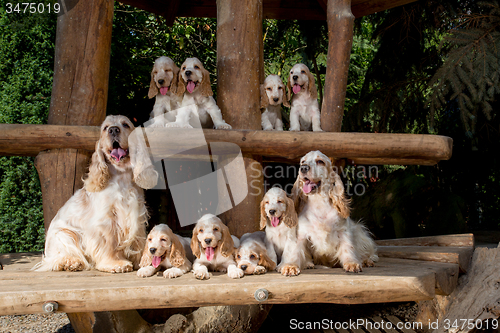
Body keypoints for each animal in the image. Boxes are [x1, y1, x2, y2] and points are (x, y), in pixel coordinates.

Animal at [34, 115, 158, 272]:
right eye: (105, 128)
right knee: (56, 258)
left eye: (125, 125)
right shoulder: (106, 220)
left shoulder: (137, 213)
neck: (122, 175)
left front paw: (143, 260)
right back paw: (71, 262)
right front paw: (115, 264)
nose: (113, 130)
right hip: (64, 235)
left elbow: (139, 239)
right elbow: (109, 243)